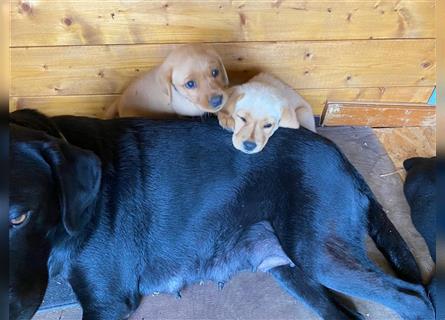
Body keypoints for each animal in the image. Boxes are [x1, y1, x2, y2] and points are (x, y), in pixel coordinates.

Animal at [9, 110, 434, 320]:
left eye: (19, 218)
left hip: (319, 255)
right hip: (293, 269)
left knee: (415, 299)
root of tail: (342, 159)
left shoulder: (107, 302)